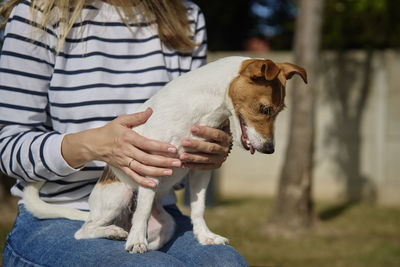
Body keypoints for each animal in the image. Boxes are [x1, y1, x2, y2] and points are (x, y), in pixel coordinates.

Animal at [23, 56, 308, 253]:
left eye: (279, 111)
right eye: (264, 109)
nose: (270, 149)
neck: (204, 110)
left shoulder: (201, 170)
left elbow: (198, 208)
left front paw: (205, 236)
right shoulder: (150, 164)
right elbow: (143, 209)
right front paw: (137, 242)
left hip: (166, 222)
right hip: (119, 194)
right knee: (85, 230)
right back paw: (116, 232)